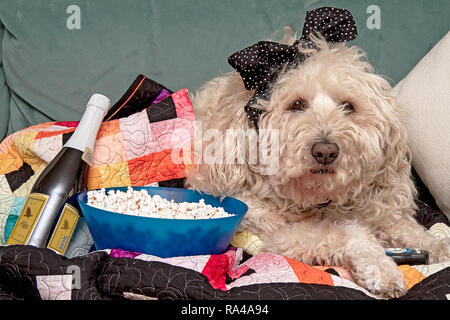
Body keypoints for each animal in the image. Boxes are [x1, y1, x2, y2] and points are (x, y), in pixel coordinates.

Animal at [185, 30, 448, 298]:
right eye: (296, 104)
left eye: (348, 106)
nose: (325, 151)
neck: (321, 198)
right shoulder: (280, 234)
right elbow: (343, 232)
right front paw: (380, 268)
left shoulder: (380, 211)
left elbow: (408, 228)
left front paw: (438, 245)